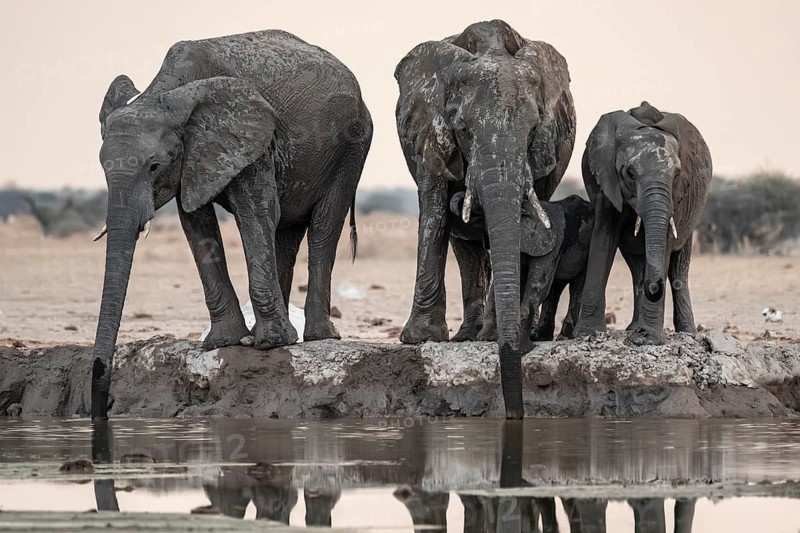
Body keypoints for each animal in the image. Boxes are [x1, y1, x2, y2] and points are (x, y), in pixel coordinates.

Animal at [91, 30, 372, 419]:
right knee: (286, 234)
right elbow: (195, 223)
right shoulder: (195, 155)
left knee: (323, 226)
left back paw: (317, 337)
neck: (165, 90)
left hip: (352, 146)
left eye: (153, 166)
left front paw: (270, 345)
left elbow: (256, 209)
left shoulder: (252, 138)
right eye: (102, 167)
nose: (101, 410)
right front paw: (226, 343)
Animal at [394, 19, 576, 419]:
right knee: (463, 247)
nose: (515, 416)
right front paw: (420, 339)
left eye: (533, 130)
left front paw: (494, 337)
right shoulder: (429, 130)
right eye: (463, 129)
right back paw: (467, 336)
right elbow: (434, 211)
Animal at [452, 192, 593, 345]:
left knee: (576, 287)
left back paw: (563, 337)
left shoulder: (551, 245)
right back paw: (539, 337)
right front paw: (487, 338)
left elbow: (537, 285)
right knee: (554, 289)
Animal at [574, 102, 712, 345]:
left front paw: (647, 339)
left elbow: (666, 244)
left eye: (677, 174)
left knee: (678, 268)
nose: (654, 287)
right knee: (637, 267)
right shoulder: (605, 182)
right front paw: (587, 334)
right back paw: (632, 328)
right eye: (630, 173)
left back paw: (687, 333)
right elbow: (603, 239)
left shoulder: (677, 196)